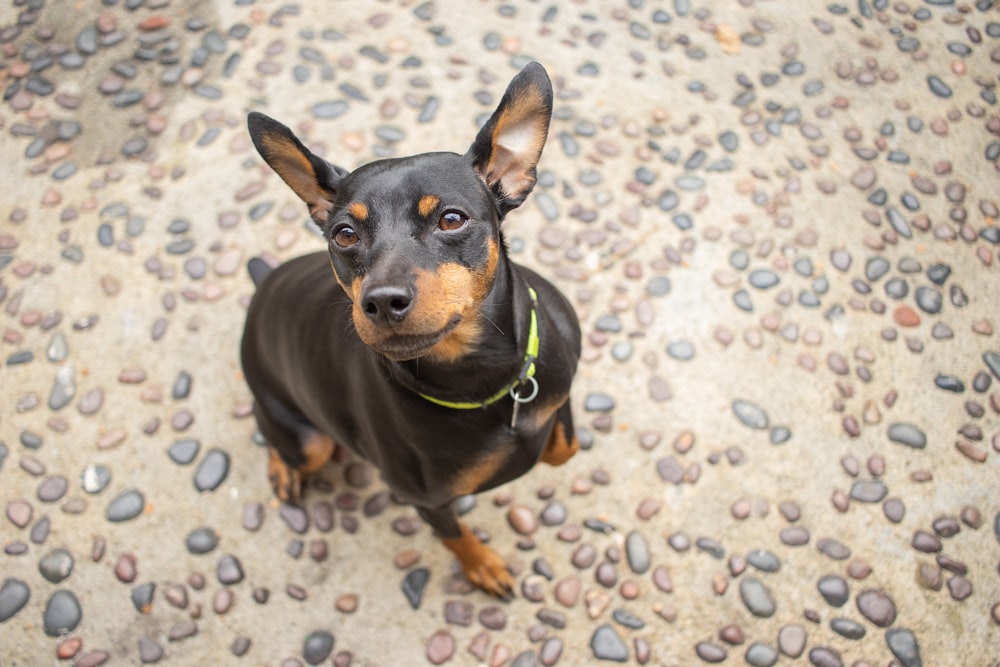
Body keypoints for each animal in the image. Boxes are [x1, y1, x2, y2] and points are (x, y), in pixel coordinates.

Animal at [242, 61, 584, 596]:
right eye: (344, 234)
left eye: (451, 219)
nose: (381, 301)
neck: (480, 378)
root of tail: (262, 285)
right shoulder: (425, 500)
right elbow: (455, 536)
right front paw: (482, 566)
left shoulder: (554, 382)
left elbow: (562, 446)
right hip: (306, 437)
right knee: (279, 437)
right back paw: (283, 471)